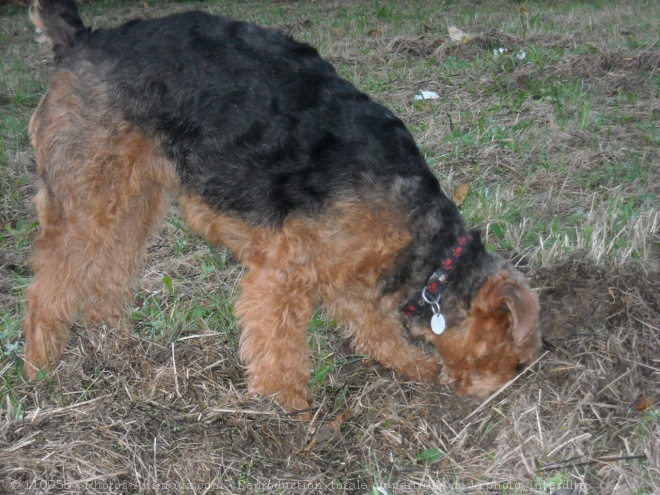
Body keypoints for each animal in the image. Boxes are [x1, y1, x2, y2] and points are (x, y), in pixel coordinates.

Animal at [24, 0, 540, 414]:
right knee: (47, 286)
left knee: (108, 274)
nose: (496, 397)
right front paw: (287, 408)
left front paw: (413, 365)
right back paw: (39, 367)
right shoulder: (282, 275)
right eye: (515, 359)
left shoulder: (347, 275)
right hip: (84, 198)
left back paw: (114, 342)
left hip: (132, 197)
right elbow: (280, 347)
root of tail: (84, 40)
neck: (427, 249)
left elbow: (374, 328)